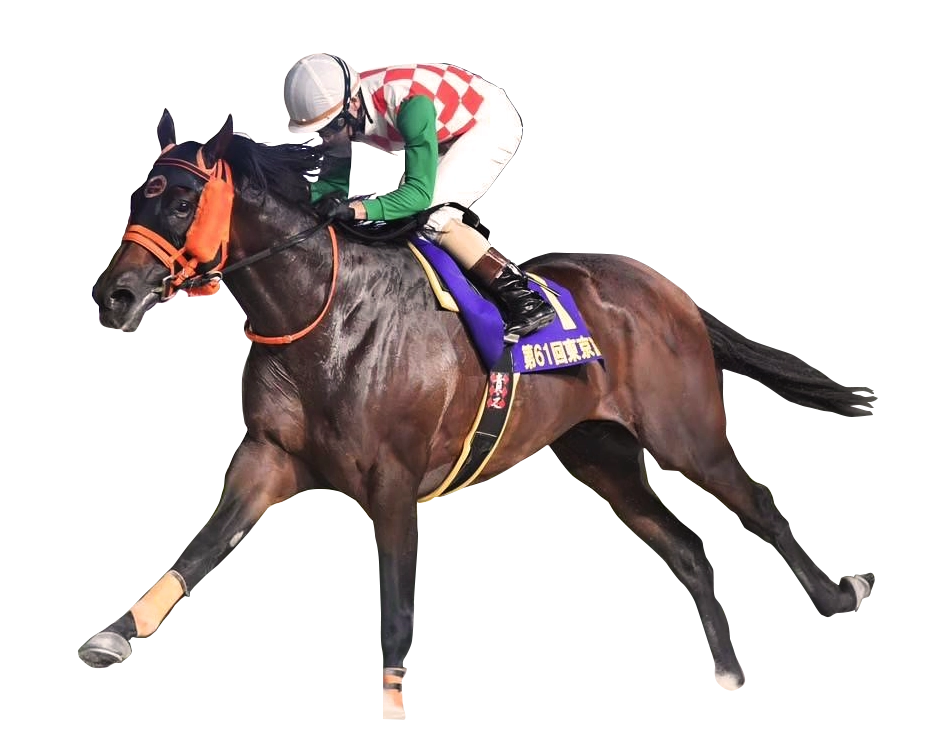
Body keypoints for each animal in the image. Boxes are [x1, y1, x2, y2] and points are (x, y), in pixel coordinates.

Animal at [85, 109, 878, 714]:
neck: (322, 313)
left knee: (763, 509)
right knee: (688, 549)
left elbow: (395, 616)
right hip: (601, 453)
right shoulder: (270, 458)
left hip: (689, 435)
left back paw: (841, 593)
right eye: (138, 194)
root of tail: (665, 288)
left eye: (180, 201)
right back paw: (730, 676)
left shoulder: (395, 484)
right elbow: (199, 549)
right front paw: (114, 634)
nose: (113, 297)